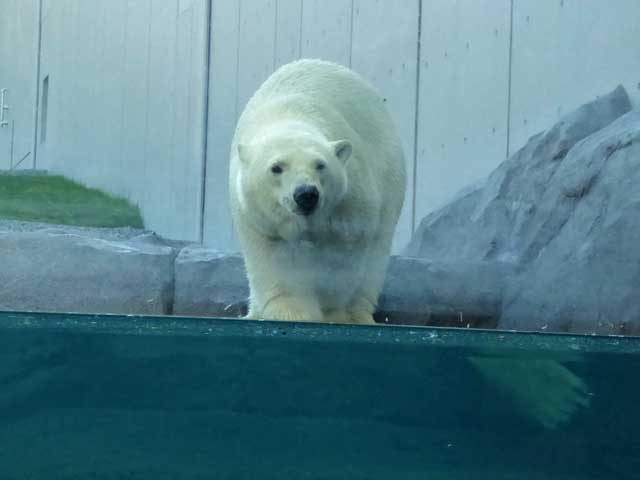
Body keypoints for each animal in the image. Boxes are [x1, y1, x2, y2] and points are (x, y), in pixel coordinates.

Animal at [229, 59, 404, 322]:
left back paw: (359, 313)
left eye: (320, 165)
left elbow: (343, 252)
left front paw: (332, 312)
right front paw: (294, 313)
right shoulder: (256, 215)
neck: (288, 114)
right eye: (276, 167)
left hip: (389, 174)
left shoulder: (350, 198)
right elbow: (275, 260)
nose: (306, 194)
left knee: (376, 255)